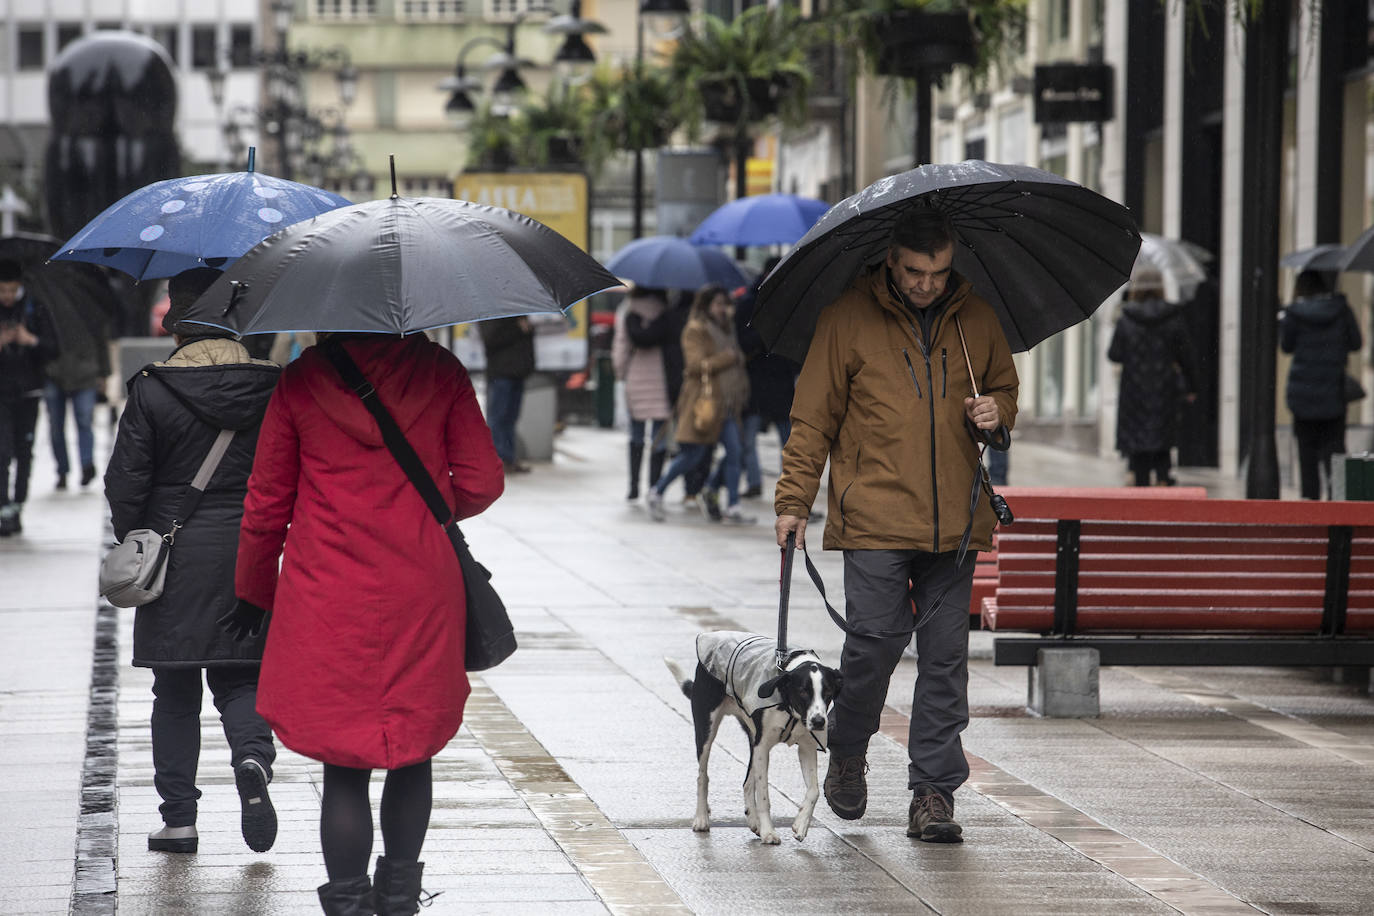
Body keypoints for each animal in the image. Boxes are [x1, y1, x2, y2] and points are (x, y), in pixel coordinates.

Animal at [662, 631, 840, 845]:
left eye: (828, 692)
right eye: (803, 691)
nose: (819, 721)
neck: (788, 705)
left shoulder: (807, 746)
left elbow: (814, 791)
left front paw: (801, 825)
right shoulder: (763, 747)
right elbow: (763, 795)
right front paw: (769, 832)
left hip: (752, 739)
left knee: (747, 782)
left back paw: (754, 821)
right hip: (706, 730)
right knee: (702, 776)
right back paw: (702, 817)